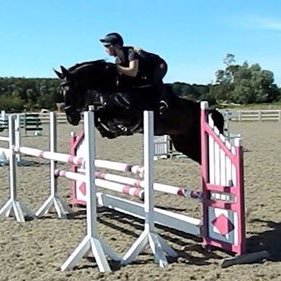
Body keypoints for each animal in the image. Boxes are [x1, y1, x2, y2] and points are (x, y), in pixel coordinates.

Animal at [53, 59, 222, 164]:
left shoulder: (130, 114)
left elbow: (102, 113)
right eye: (61, 90)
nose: (71, 117)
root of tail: (206, 109)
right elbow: (97, 115)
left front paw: (115, 129)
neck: (115, 85)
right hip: (183, 143)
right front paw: (108, 131)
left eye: (70, 89)